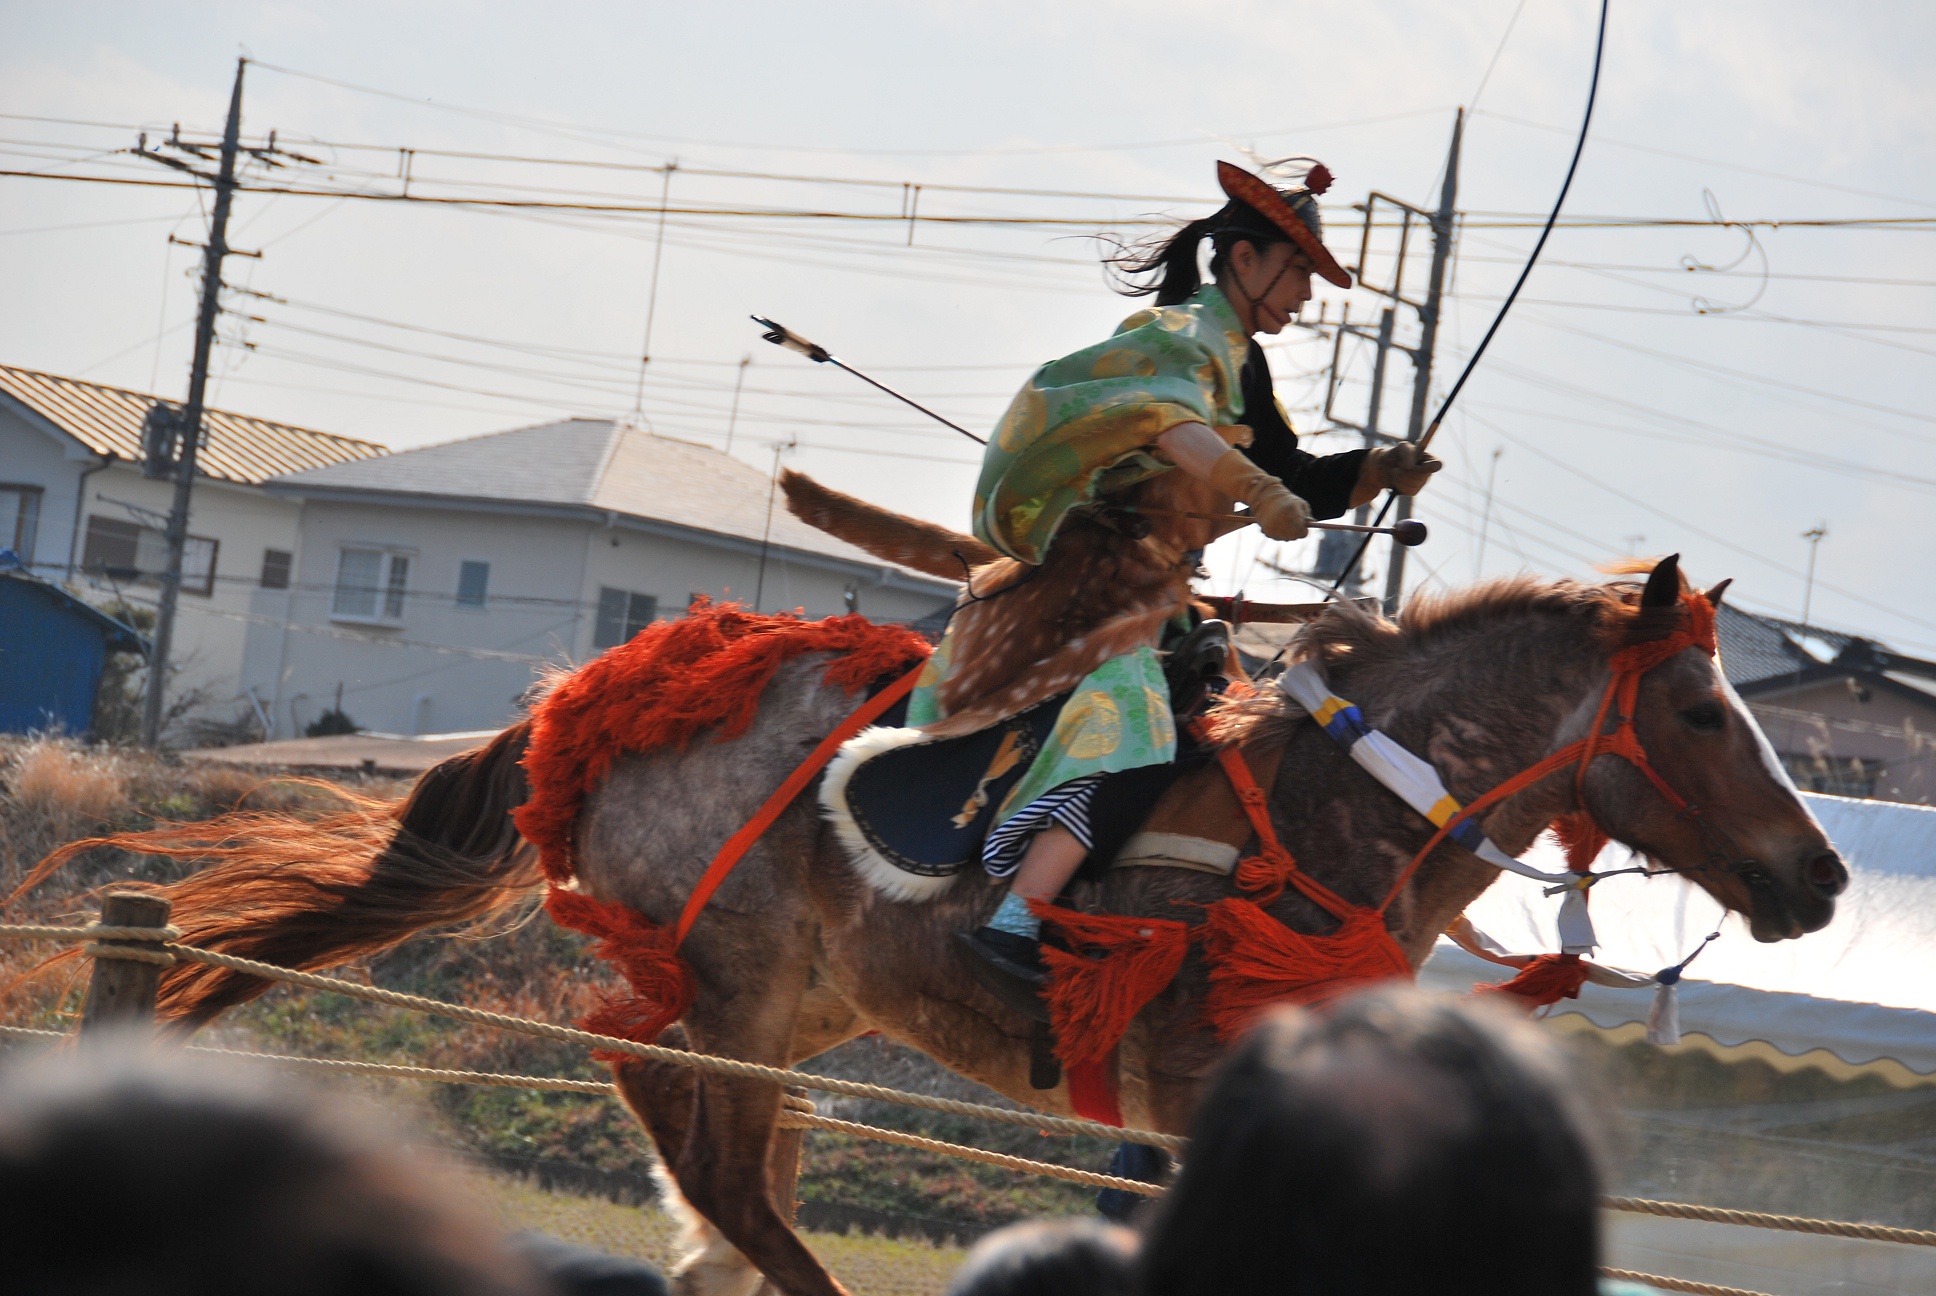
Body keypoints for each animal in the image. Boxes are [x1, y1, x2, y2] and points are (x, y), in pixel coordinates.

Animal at [18, 557, 1843, 1294]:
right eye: (1700, 711)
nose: (1816, 876)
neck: (1347, 813)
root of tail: (586, 704)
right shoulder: (1200, 1092)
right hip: (745, 983)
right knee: (718, 1156)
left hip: (789, 1002)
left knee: (687, 1126)